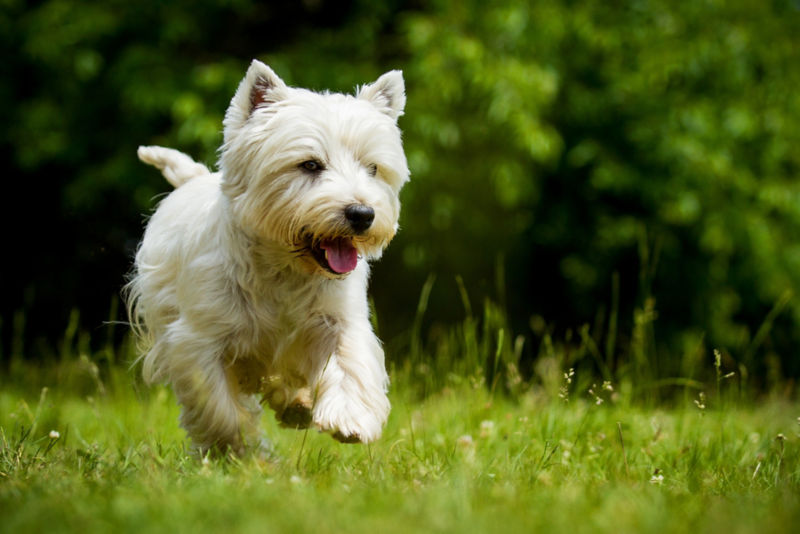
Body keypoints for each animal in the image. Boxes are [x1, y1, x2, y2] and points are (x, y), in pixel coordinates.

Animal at [130, 59, 412, 456]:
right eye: (310, 165)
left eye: (372, 168)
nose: (362, 214)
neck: (285, 269)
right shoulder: (198, 338)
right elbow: (218, 405)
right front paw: (241, 451)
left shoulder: (338, 320)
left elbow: (349, 362)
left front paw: (349, 419)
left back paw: (299, 406)